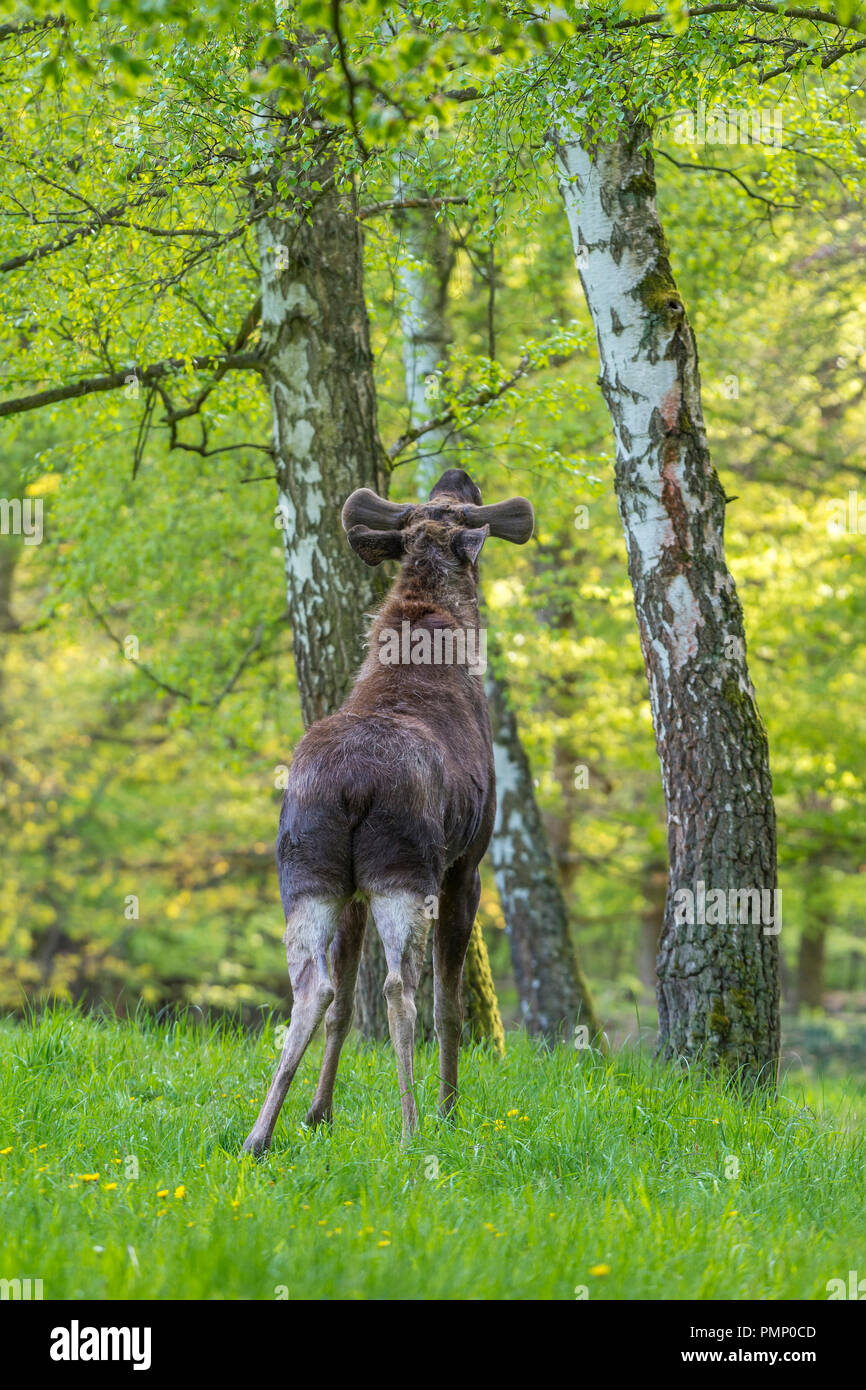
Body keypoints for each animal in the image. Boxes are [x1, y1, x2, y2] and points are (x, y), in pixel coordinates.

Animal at [243, 468, 534, 1153]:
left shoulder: (352, 892)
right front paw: (450, 1109)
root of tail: (351, 789)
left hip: (308, 876)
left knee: (314, 988)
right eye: (452, 501)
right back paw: (411, 1129)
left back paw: (258, 1135)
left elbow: (346, 1004)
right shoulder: (467, 865)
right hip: (406, 872)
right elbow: (449, 1006)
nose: (456, 472)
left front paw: (319, 1112)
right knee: (401, 988)